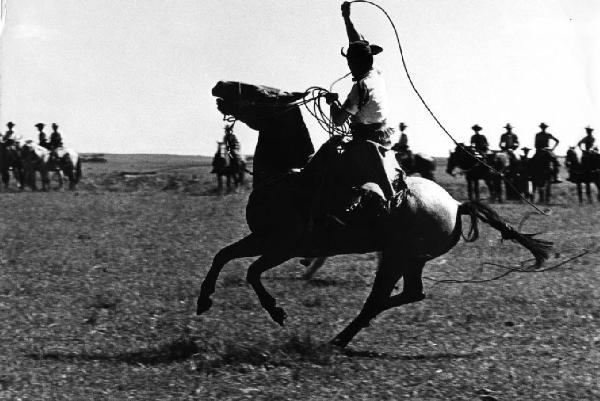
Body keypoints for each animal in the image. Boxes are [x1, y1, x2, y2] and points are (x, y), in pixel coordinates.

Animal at [198, 79, 552, 346]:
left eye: (263, 93)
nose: (220, 85)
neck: (288, 177)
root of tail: (455, 205)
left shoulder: (282, 245)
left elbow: (251, 271)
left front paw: (275, 311)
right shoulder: (261, 239)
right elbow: (222, 255)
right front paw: (204, 300)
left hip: (396, 258)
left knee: (379, 298)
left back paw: (340, 338)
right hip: (410, 260)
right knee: (409, 293)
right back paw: (347, 333)